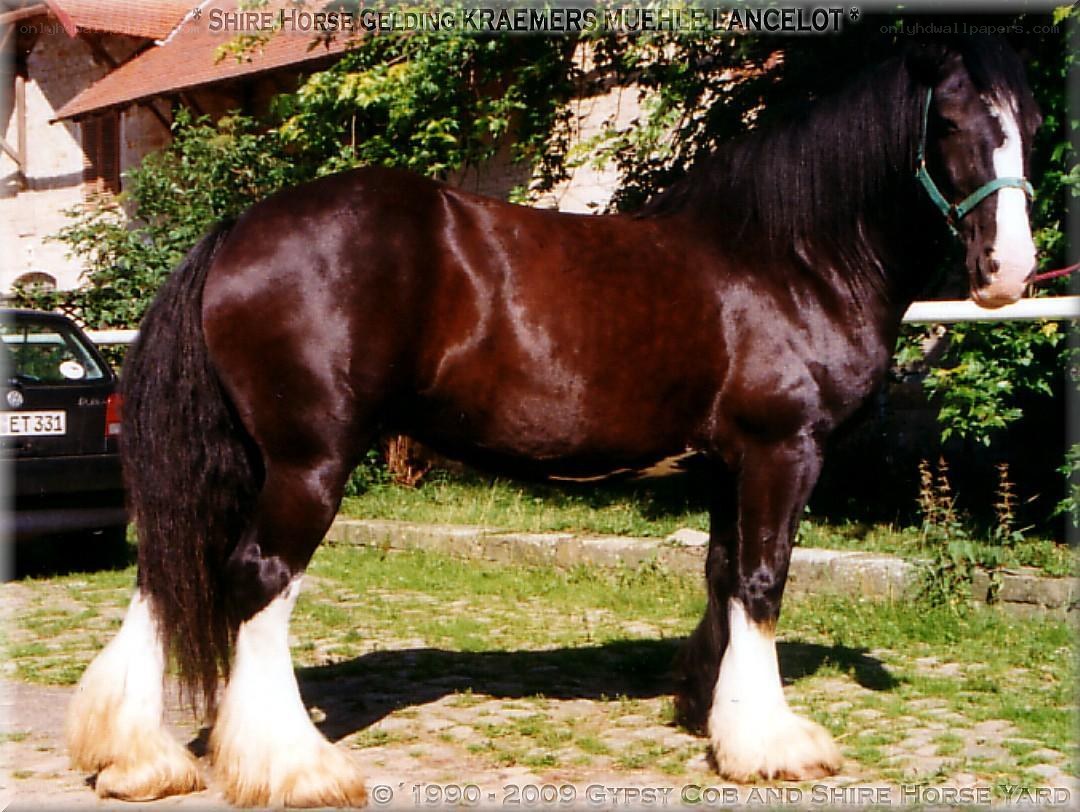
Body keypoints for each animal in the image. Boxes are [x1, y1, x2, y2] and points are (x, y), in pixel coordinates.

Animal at [66, 36, 1040, 806]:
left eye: (1028, 122)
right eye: (952, 123)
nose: (1009, 271)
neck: (787, 260)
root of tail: (237, 230)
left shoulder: (729, 465)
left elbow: (725, 578)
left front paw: (710, 711)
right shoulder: (780, 452)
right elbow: (763, 583)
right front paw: (771, 745)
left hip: (237, 459)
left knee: (168, 570)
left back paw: (137, 760)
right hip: (308, 462)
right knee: (259, 580)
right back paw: (294, 768)